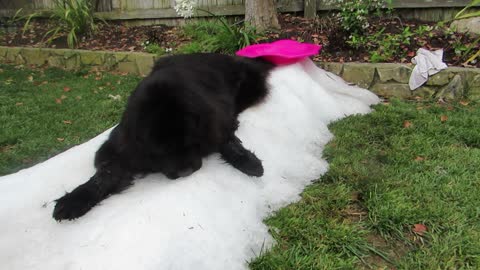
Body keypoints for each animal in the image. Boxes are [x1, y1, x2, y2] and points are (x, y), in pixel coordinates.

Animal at [53, 53, 276, 221]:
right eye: (160, 151)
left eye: (190, 143)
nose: (186, 172)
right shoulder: (120, 146)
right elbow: (105, 173)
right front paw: (74, 200)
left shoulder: (216, 120)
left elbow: (226, 140)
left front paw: (249, 162)